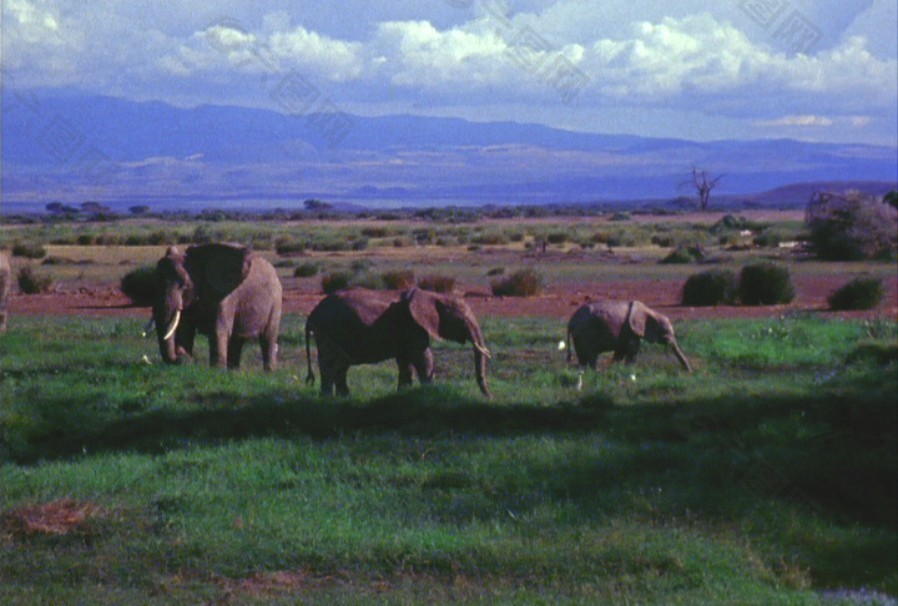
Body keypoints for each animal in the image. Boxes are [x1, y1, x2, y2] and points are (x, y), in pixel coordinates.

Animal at [150, 245, 282, 372]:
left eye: (185, 286)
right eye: (153, 284)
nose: (178, 356)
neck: (195, 261)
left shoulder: (225, 296)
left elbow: (218, 330)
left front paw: (216, 371)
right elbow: (185, 330)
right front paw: (186, 361)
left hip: (275, 301)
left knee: (268, 337)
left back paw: (269, 372)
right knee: (237, 340)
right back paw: (234, 372)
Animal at [306, 288, 490, 400]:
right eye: (462, 321)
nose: (489, 397)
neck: (434, 295)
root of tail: (312, 314)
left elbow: (405, 363)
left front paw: (404, 395)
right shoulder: (412, 325)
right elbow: (423, 358)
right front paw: (430, 392)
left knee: (340, 368)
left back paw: (344, 399)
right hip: (328, 331)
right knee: (330, 367)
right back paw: (328, 400)